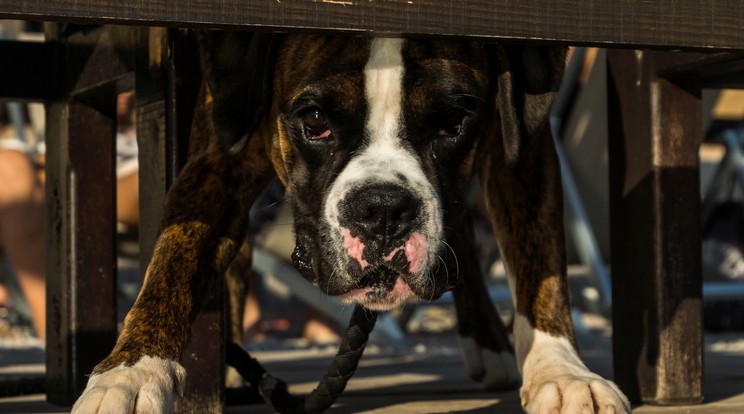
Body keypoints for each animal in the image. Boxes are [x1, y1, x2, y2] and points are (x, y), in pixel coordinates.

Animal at [71, 33, 628, 414]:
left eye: (452, 124)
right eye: (315, 120)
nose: (382, 209)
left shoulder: (523, 140)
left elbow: (540, 263)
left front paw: (560, 369)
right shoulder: (217, 160)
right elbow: (172, 266)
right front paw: (131, 373)